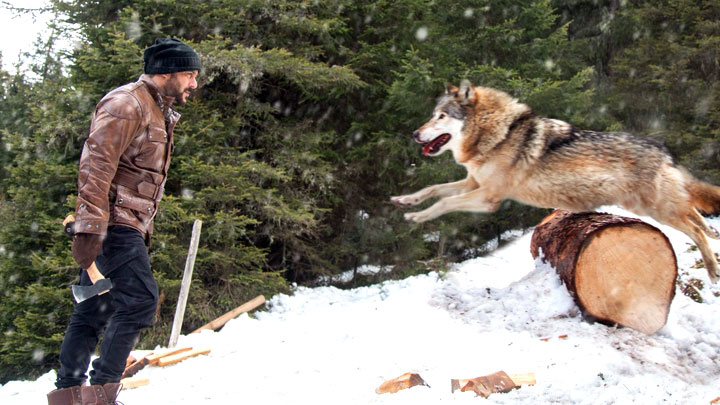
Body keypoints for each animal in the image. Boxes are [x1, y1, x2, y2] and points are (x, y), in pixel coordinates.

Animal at [391, 81, 720, 282]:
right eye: (432, 115)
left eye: (441, 116)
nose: (414, 134)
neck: (497, 135)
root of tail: (663, 149)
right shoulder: (473, 183)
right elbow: (433, 189)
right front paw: (405, 201)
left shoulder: (488, 198)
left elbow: (444, 202)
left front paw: (417, 217)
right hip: (652, 207)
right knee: (696, 215)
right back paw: (714, 236)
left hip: (654, 209)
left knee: (695, 229)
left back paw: (713, 269)